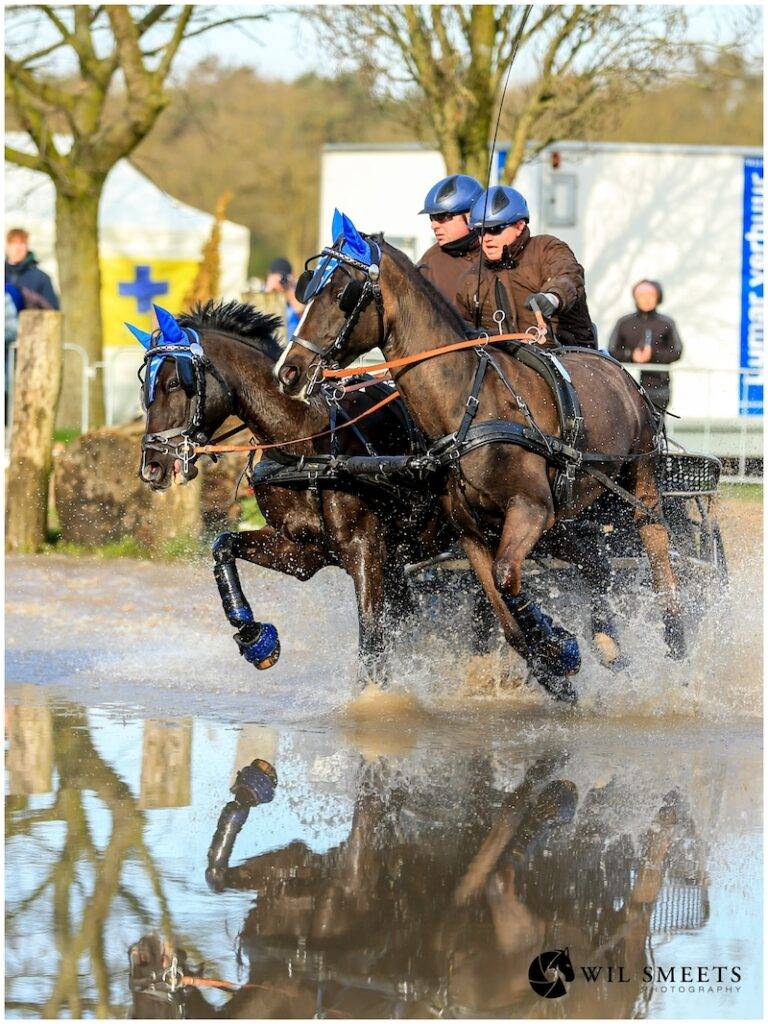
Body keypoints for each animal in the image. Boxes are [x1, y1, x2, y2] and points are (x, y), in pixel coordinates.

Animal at [133, 299, 468, 684]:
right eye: (145, 390)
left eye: (176, 382)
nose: (151, 465)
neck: (308, 447)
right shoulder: (301, 551)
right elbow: (223, 545)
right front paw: (254, 637)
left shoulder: (365, 549)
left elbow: (371, 637)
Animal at [275, 219, 686, 703]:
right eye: (310, 285)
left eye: (343, 291)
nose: (288, 370)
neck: (470, 407)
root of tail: (621, 372)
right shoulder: (473, 532)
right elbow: (503, 611)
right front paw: (552, 667)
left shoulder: (530, 510)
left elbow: (508, 578)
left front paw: (558, 647)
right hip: (568, 513)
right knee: (596, 560)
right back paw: (608, 643)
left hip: (636, 480)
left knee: (655, 540)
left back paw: (675, 633)